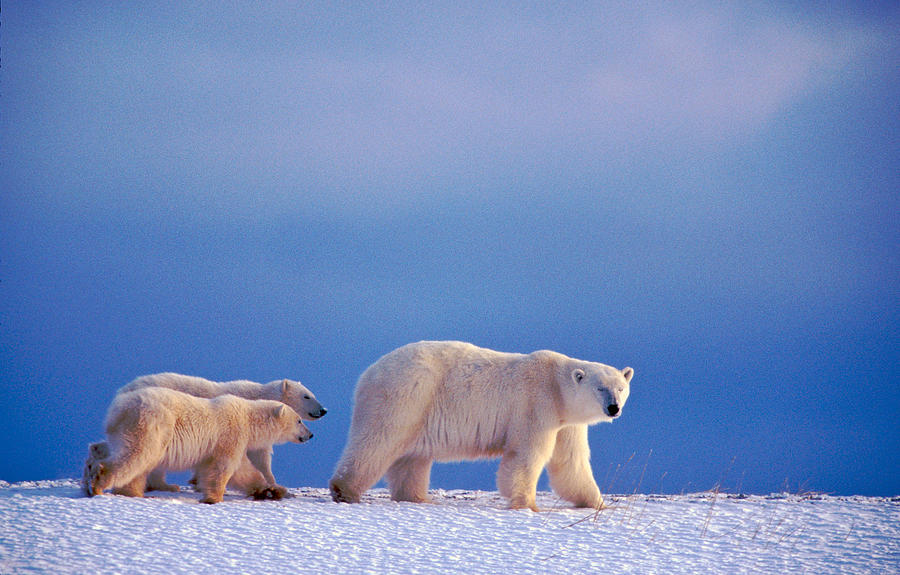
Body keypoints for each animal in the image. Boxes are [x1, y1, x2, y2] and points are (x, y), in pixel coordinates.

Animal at [330, 340, 632, 510]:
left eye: (620, 387)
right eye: (600, 388)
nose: (613, 408)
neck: (556, 384)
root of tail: (369, 373)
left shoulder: (566, 422)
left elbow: (571, 463)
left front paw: (599, 504)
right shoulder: (535, 405)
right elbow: (526, 455)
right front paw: (528, 504)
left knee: (411, 458)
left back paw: (417, 497)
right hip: (408, 394)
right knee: (377, 441)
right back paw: (345, 490)